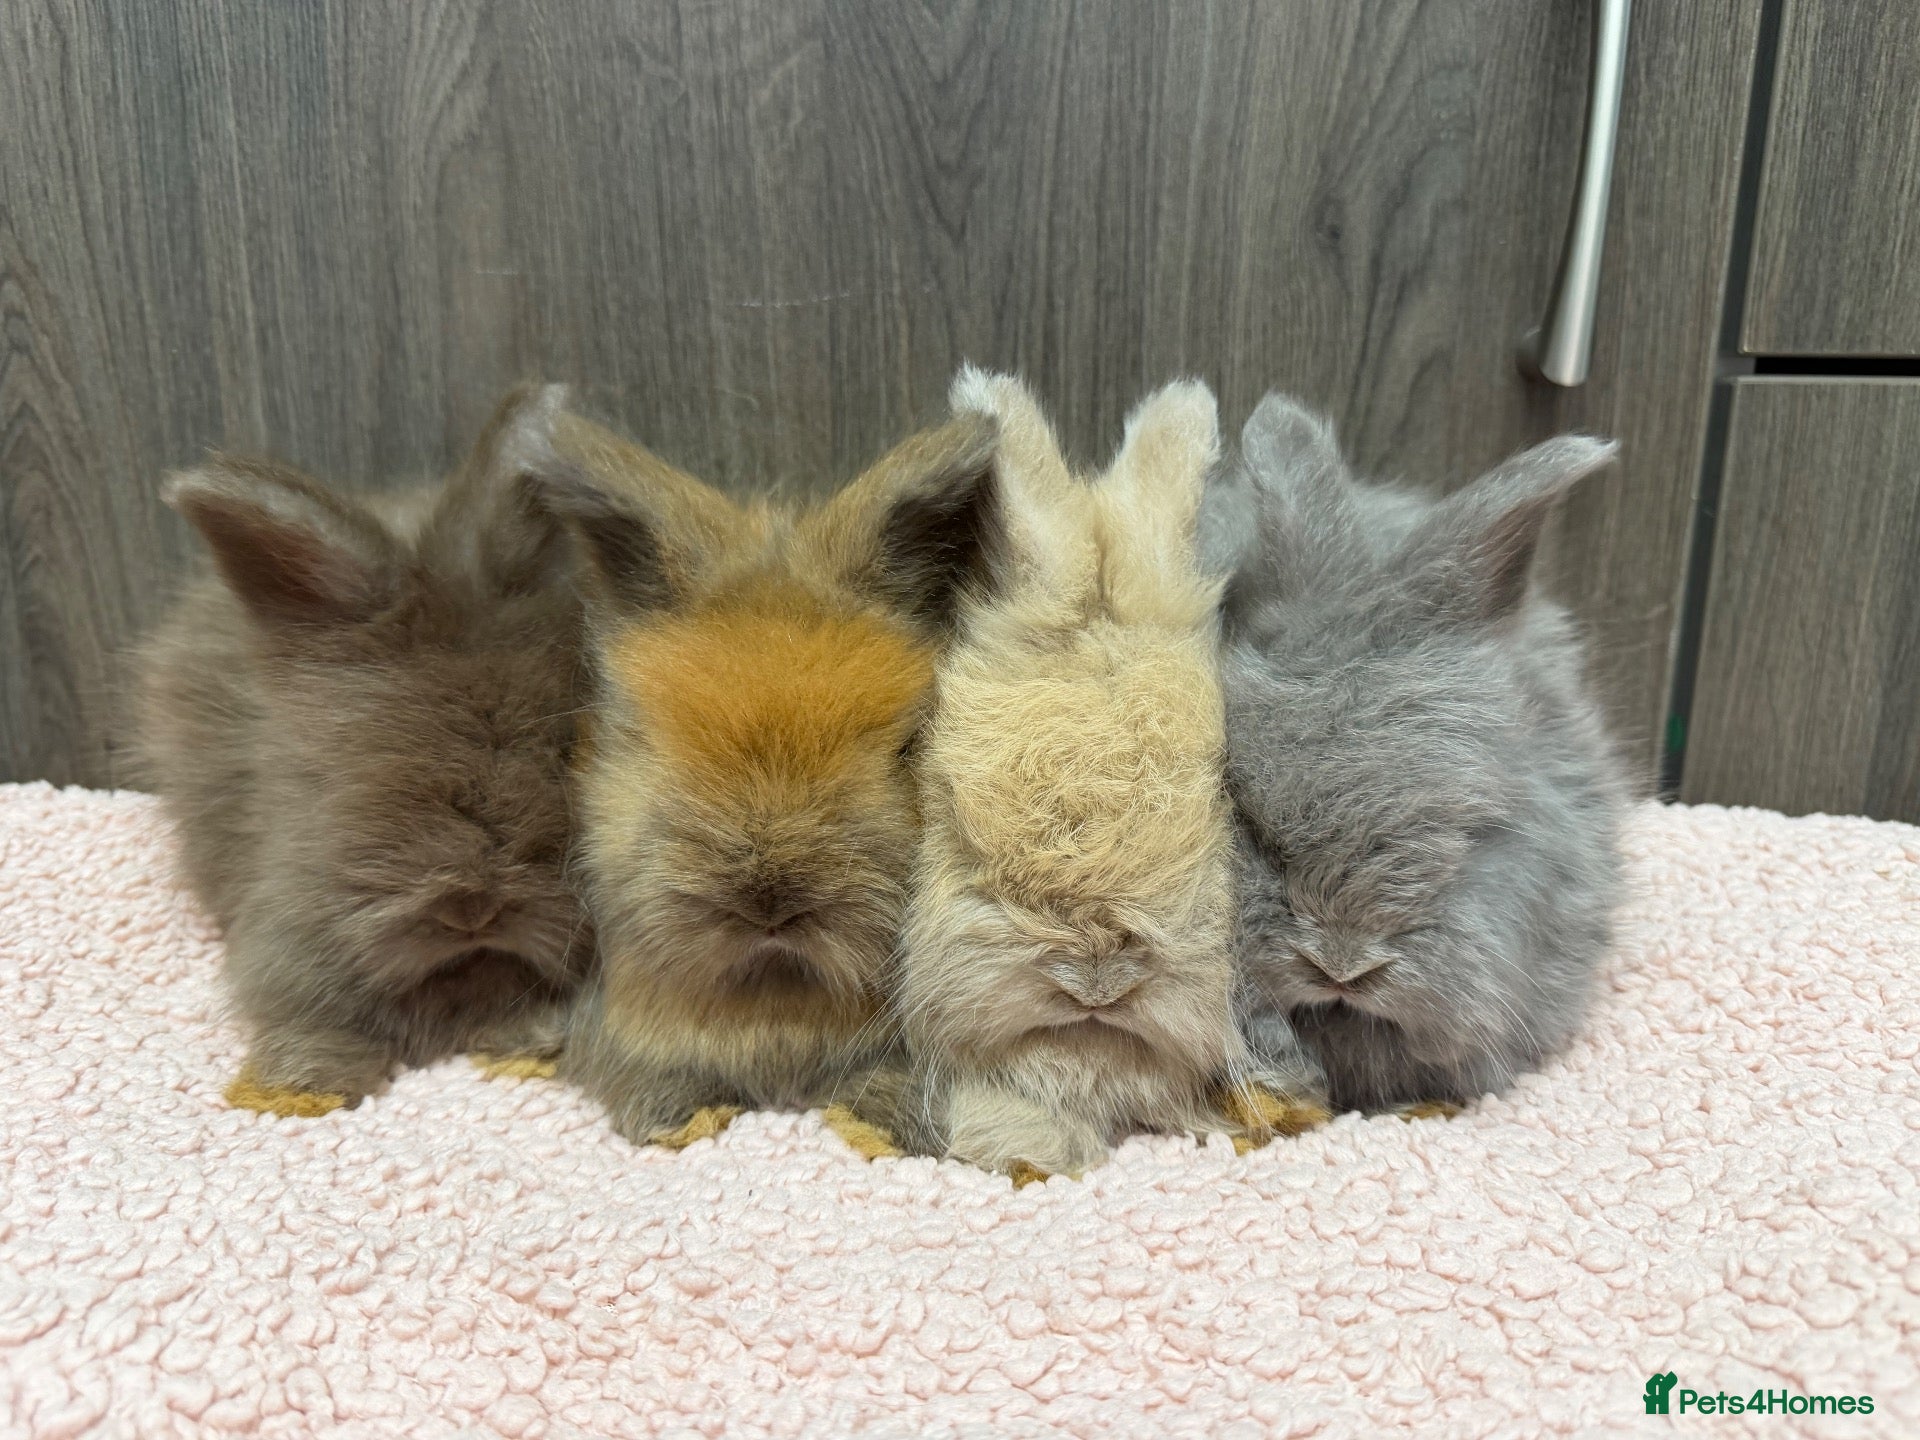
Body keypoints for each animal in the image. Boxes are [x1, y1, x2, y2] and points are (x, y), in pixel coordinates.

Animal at [520, 402, 999, 1149]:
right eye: (643, 739)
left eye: (903, 748)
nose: (770, 902)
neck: (777, 1001)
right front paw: (671, 1118)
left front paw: (885, 1125)